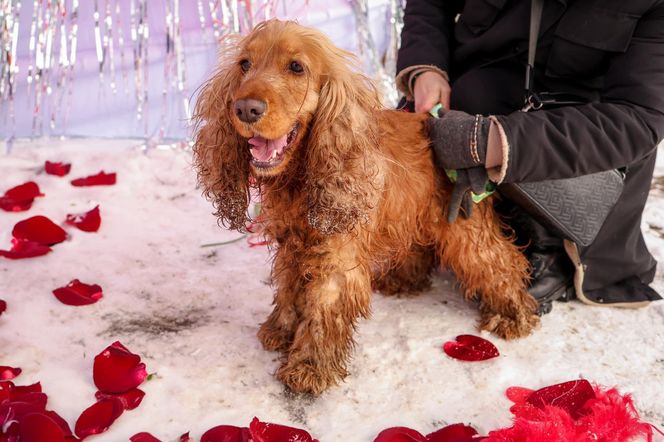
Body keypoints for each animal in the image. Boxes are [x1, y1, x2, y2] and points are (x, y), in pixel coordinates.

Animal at [193, 19, 540, 396]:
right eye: (244, 64)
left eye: (296, 67)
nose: (245, 109)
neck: (301, 176)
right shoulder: (292, 246)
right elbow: (289, 287)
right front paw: (280, 330)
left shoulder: (336, 255)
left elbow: (323, 307)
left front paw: (310, 366)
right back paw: (404, 281)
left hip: (464, 222)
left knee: (498, 260)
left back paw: (513, 314)